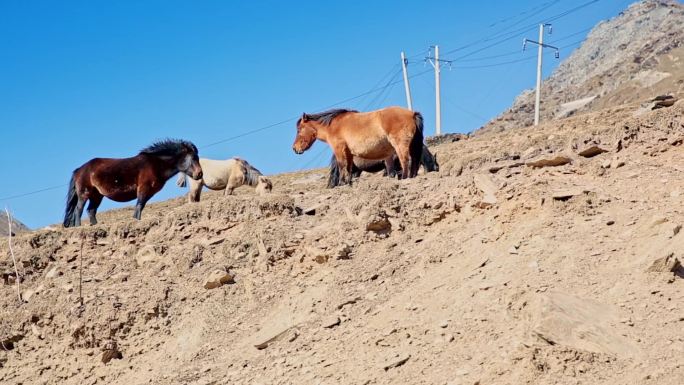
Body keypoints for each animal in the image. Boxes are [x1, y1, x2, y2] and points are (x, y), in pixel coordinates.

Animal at [62, 139, 202, 226]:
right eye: (193, 158)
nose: (200, 174)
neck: (155, 165)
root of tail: (79, 169)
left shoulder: (148, 193)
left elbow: (141, 206)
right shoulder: (143, 189)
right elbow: (139, 207)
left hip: (97, 196)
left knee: (91, 211)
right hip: (84, 194)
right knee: (78, 210)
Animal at [292, 105, 424, 183]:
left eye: (299, 129)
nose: (294, 148)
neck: (333, 125)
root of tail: (412, 113)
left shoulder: (339, 150)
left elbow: (342, 167)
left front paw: (342, 184)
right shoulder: (349, 154)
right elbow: (349, 169)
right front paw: (347, 183)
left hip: (400, 145)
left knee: (405, 161)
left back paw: (405, 178)